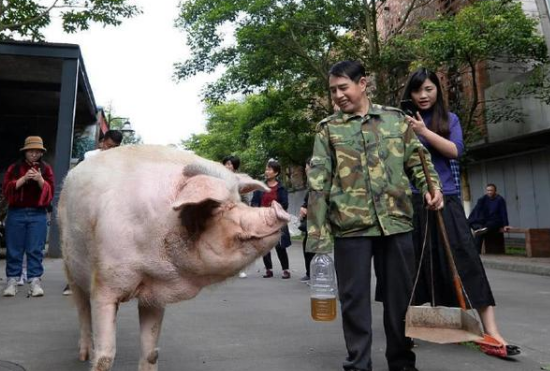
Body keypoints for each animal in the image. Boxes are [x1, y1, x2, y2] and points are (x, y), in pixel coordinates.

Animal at [57, 145, 292, 371]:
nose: (279, 209)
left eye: (239, 201)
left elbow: (152, 353)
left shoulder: (154, 293)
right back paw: (84, 355)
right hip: (69, 264)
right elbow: (105, 357)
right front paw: (96, 358)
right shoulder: (104, 284)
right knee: (82, 308)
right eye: (218, 208)